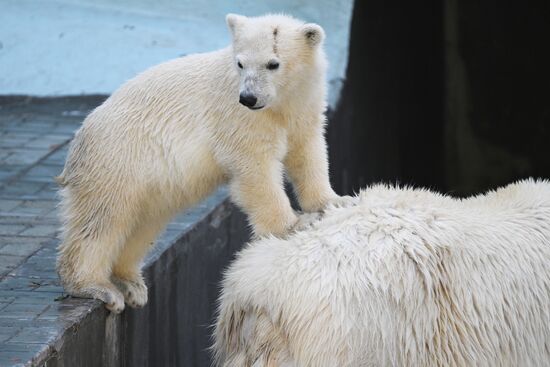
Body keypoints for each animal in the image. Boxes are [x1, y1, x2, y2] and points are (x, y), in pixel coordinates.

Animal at [57, 13, 344, 314]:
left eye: (273, 63)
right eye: (240, 63)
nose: (248, 97)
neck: (279, 102)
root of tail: (78, 140)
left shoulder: (304, 106)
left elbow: (307, 152)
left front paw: (332, 201)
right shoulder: (237, 117)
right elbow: (255, 169)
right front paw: (293, 224)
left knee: (141, 224)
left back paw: (131, 284)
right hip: (118, 159)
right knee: (103, 219)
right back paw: (96, 287)